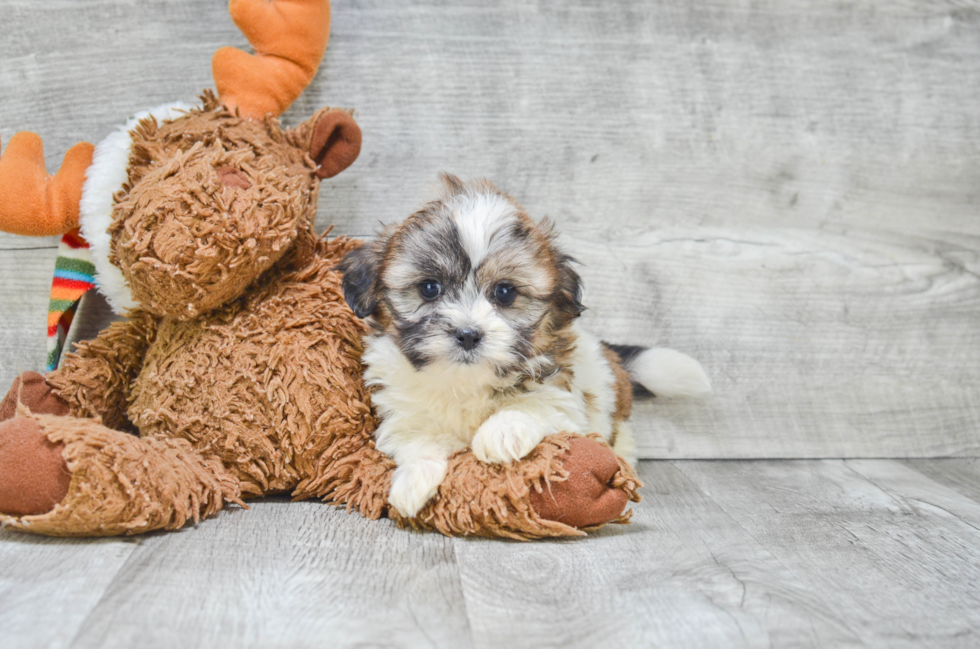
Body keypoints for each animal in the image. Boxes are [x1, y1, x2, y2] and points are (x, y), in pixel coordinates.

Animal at [340, 175, 708, 520]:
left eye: (504, 293)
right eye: (430, 288)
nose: (468, 334)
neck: (465, 382)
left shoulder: (563, 397)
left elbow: (534, 404)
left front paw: (500, 435)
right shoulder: (402, 413)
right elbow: (417, 439)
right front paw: (412, 483)